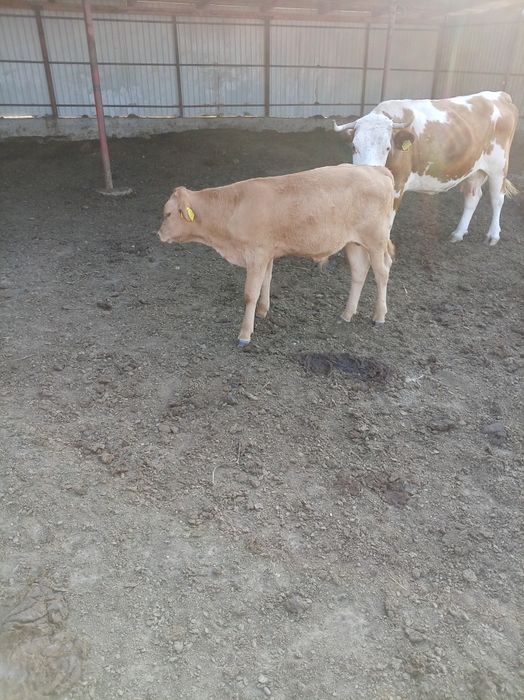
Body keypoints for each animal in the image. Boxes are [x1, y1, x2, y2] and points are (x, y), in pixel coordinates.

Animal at [157, 165, 395, 347]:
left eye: (168, 213)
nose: (159, 234)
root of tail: (376, 169)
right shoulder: (267, 254)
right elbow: (266, 280)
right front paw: (262, 311)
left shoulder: (256, 253)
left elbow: (250, 294)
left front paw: (245, 335)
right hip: (353, 243)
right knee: (359, 272)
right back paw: (347, 314)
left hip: (376, 240)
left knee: (382, 273)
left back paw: (379, 316)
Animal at [334, 91, 518, 245]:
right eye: (354, 147)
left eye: (387, 148)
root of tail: (500, 95)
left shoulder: (397, 186)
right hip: (475, 167)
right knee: (473, 196)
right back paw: (458, 233)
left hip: (499, 167)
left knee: (497, 198)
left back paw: (493, 235)